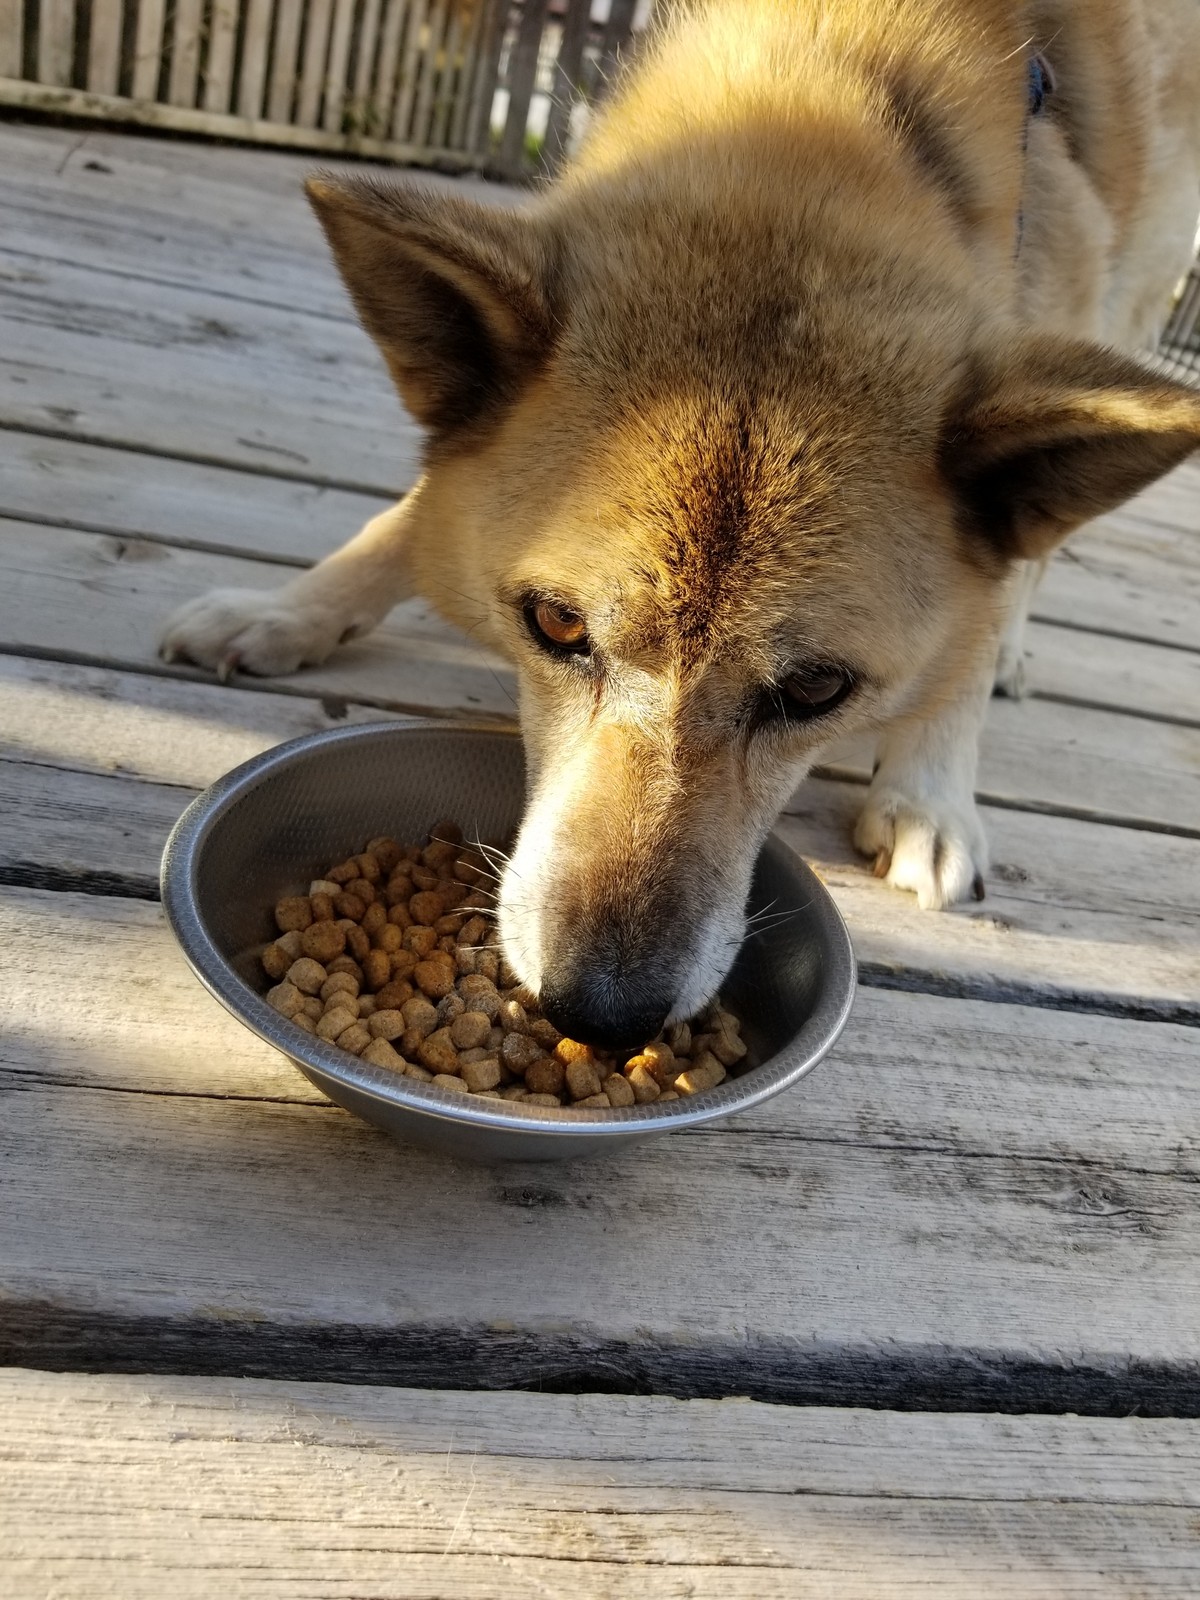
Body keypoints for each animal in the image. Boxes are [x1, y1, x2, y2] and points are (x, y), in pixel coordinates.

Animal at [161, 0, 1200, 1049]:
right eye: (556, 625)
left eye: (819, 688)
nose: (603, 1012)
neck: (836, 89)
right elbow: (413, 515)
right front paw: (289, 611)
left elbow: (975, 627)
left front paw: (928, 790)